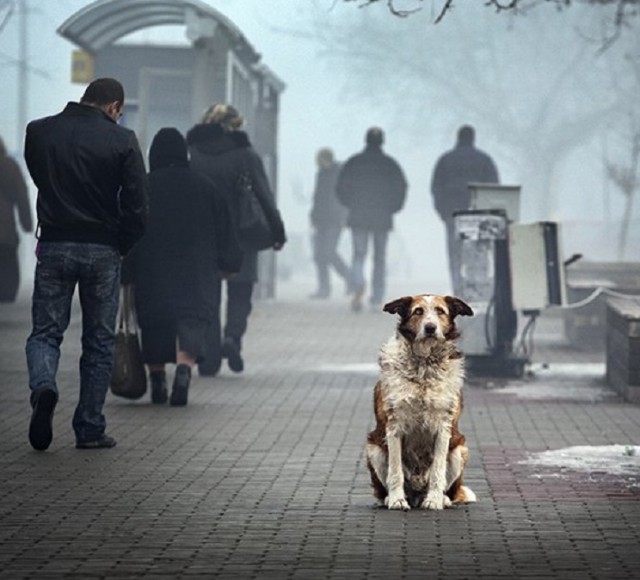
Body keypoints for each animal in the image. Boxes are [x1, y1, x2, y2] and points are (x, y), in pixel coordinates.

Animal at [364, 292, 476, 510]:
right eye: (418, 311)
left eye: (440, 311)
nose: (430, 327)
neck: (424, 365)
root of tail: (416, 494)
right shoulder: (394, 426)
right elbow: (395, 471)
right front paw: (397, 500)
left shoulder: (443, 428)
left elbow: (437, 471)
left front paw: (434, 501)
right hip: (374, 449)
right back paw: (392, 498)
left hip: (460, 449)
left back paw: (441, 498)